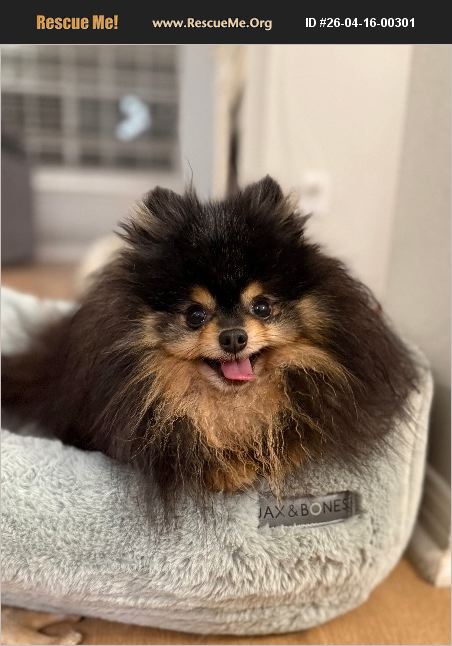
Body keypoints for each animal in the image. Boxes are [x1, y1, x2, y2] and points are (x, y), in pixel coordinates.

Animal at [2, 176, 417, 502]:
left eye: (262, 306)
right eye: (194, 315)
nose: (233, 337)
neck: (230, 405)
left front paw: (284, 451)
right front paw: (226, 469)